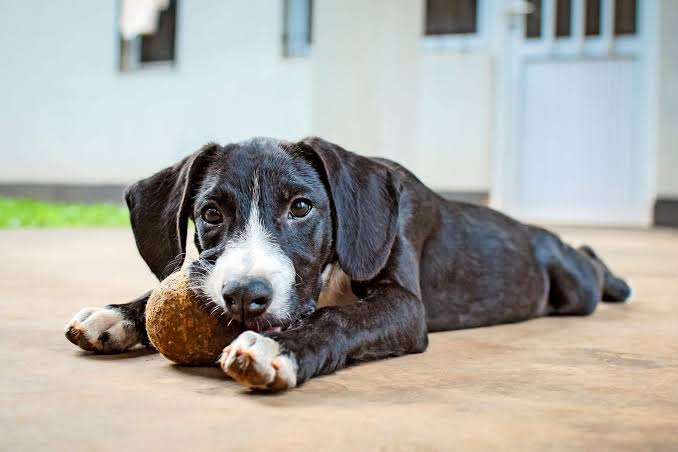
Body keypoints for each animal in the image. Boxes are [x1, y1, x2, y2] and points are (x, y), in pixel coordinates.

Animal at [65, 138, 632, 392]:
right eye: (210, 214)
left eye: (301, 207)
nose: (245, 297)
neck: (331, 270)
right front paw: (117, 315)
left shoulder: (404, 306)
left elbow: (340, 317)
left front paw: (280, 349)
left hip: (572, 286)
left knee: (588, 263)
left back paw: (616, 279)